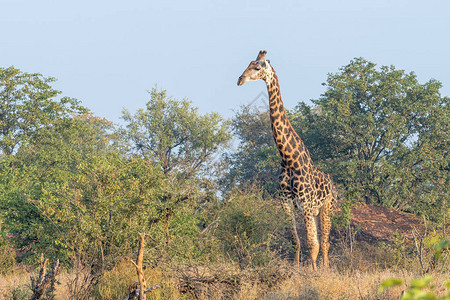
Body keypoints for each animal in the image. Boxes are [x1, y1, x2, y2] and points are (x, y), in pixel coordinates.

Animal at [237, 50, 336, 270]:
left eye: (258, 67)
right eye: (248, 63)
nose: (239, 79)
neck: (289, 159)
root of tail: (332, 182)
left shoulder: (306, 203)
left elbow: (312, 244)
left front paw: (313, 272)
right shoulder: (286, 203)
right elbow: (296, 241)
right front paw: (297, 268)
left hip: (327, 207)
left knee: (325, 243)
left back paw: (326, 269)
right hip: (314, 211)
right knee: (320, 241)